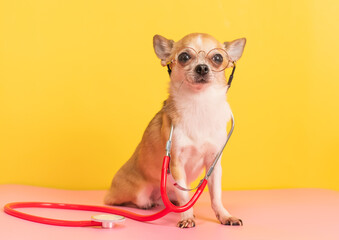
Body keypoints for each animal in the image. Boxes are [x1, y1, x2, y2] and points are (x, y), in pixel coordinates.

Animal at [105, 32, 246, 228]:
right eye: (184, 57)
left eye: (218, 58)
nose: (202, 68)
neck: (199, 104)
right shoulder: (176, 164)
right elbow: (185, 195)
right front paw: (186, 217)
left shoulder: (214, 164)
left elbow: (216, 196)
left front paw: (225, 216)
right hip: (136, 192)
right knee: (128, 201)